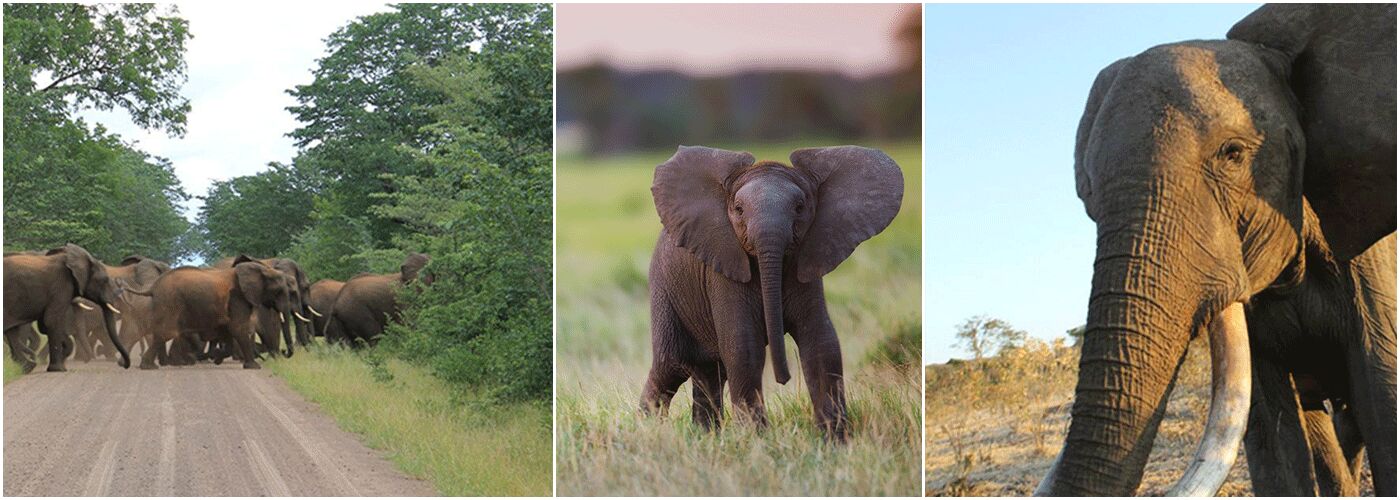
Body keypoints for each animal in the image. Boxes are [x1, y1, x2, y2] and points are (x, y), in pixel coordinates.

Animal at [2, 244, 132, 372]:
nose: (124, 365)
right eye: (104, 280)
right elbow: (51, 321)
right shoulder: (61, 287)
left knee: (11, 331)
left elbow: (44, 325)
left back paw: (28, 367)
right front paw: (58, 369)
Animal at [127, 256, 295, 369]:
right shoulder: (237, 297)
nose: (284, 351)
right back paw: (154, 366)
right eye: (279, 291)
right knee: (167, 332)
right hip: (171, 302)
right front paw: (254, 367)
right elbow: (238, 328)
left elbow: (230, 331)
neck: (262, 269)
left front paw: (217, 358)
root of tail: (153, 287)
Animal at [640, 145, 903, 441]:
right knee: (670, 367)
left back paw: (705, 437)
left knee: (709, 373)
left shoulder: (807, 260)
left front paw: (835, 441)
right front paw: (758, 441)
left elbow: (821, 343)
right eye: (739, 209)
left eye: (799, 208)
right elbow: (744, 347)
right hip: (664, 292)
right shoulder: (724, 270)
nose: (784, 379)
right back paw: (646, 428)